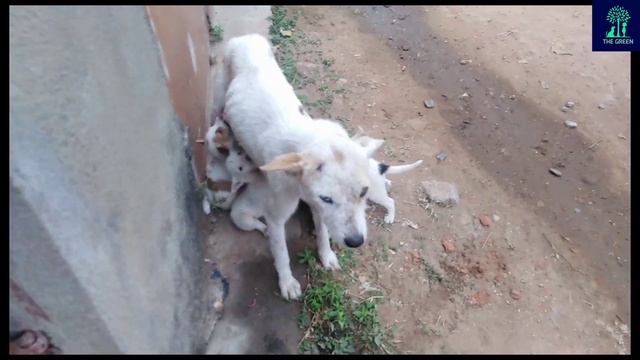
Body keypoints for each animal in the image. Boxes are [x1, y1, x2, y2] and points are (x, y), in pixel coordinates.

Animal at [214, 33, 370, 300]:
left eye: (364, 192)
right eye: (327, 198)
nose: (356, 241)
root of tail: (246, 37)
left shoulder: (318, 208)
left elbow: (323, 232)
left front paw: (326, 255)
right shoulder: (277, 218)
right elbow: (282, 255)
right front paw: (287, 283)